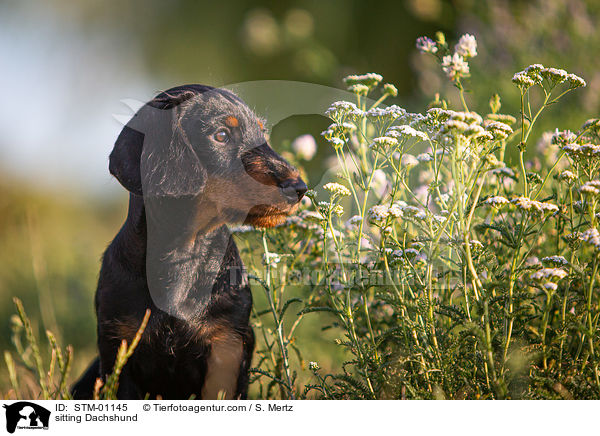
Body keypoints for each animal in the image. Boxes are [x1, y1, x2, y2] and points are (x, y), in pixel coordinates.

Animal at [72, 84, 308, 398]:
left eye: (262, 134)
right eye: (221, 135)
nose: (299, 188)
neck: (183, 249)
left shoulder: (227, 347)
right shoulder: (118, 348)